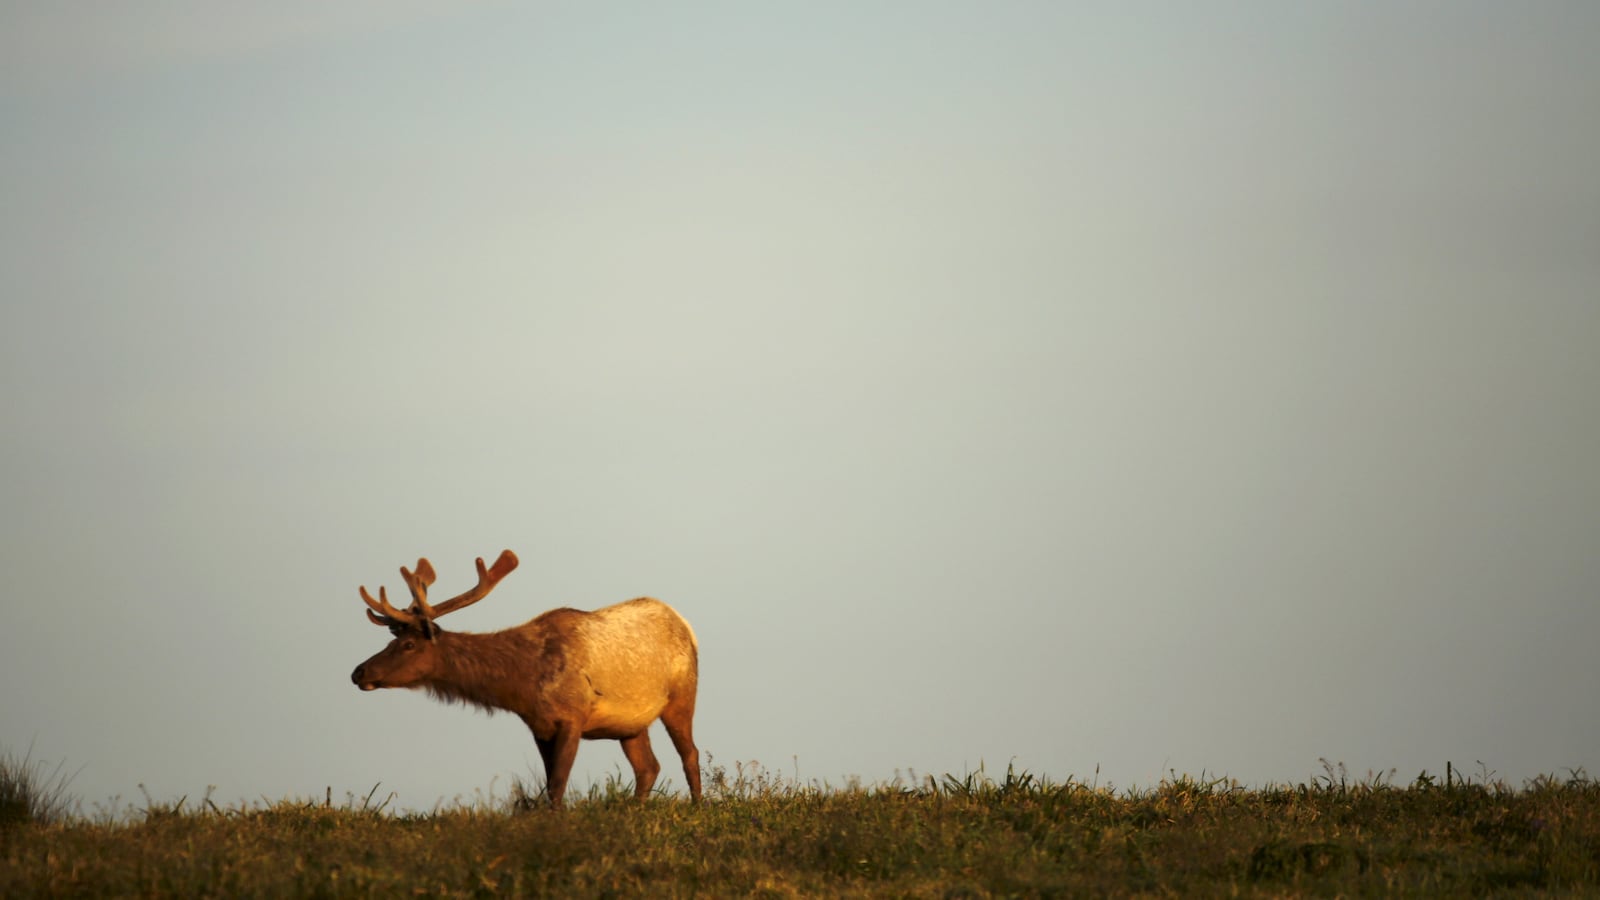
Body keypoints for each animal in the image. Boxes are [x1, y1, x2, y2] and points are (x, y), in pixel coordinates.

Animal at [349, 549, 701, 808]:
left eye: (409, 644)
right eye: (392, 640)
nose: (359, 672)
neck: (525, 684)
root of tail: (685, 625)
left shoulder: (572, 717)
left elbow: (557, 786)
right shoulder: (539, 727)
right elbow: (550, 785)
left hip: (682, 696)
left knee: (690, 754)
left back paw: (698, 807)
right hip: (630, 724)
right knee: (648, 767)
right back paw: (635, 811)